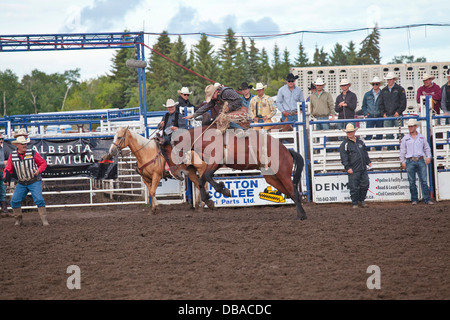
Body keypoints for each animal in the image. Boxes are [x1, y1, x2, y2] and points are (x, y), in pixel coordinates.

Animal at [171, 125, 308, 220]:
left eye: (174, 152)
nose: (175, 173)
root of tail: (287, 150)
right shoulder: (212, 164)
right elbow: (201, 180)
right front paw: (209, 201)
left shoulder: (215, 161)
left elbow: (208, 177)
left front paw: (224, 190)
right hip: (272, 177)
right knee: (290, 192)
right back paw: (301, 213)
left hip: (283, 174)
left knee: (294, 192)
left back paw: (301, 216)